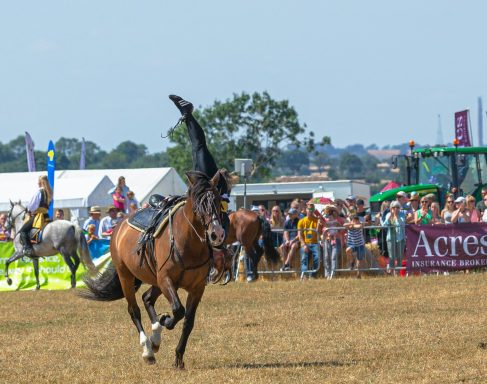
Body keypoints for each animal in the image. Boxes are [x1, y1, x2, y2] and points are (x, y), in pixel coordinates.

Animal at [80, 172, 225, 368]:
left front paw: (178, 358)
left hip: (155, 281)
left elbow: (188, 321)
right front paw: (165, 320)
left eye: (218, 201)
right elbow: (178, 310)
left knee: (147, 298)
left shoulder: (197, 288)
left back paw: (155, 338)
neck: (187, 242)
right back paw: (148, 349)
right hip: (126, 276)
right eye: (198, 204)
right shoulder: (166, 280)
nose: (217, 234)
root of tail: (119, 226)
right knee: (134, 310)